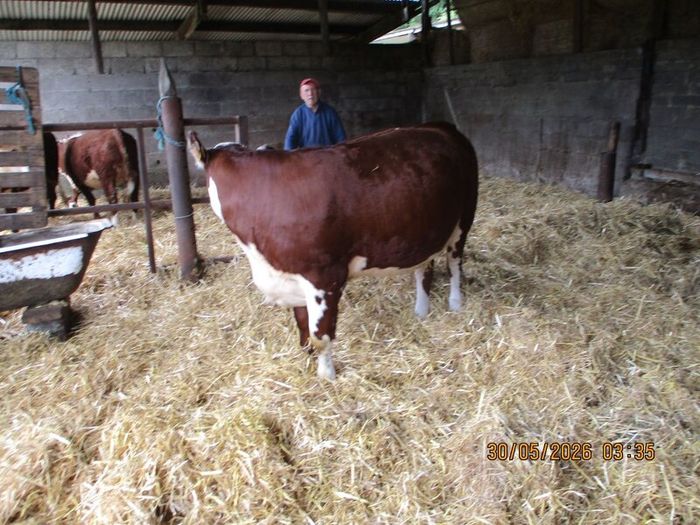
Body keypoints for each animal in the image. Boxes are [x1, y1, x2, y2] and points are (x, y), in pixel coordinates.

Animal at [187, 122, 479, 380]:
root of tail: (439, 126)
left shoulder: (325, 276)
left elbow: (321, 337)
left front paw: (327, 376)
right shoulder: (293, 278)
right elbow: (302, 325)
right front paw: (306, 358)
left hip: (464, 219)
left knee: (454, 264)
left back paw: (455, 302)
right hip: (425, 229)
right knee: (424, 269)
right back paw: (420, 310)